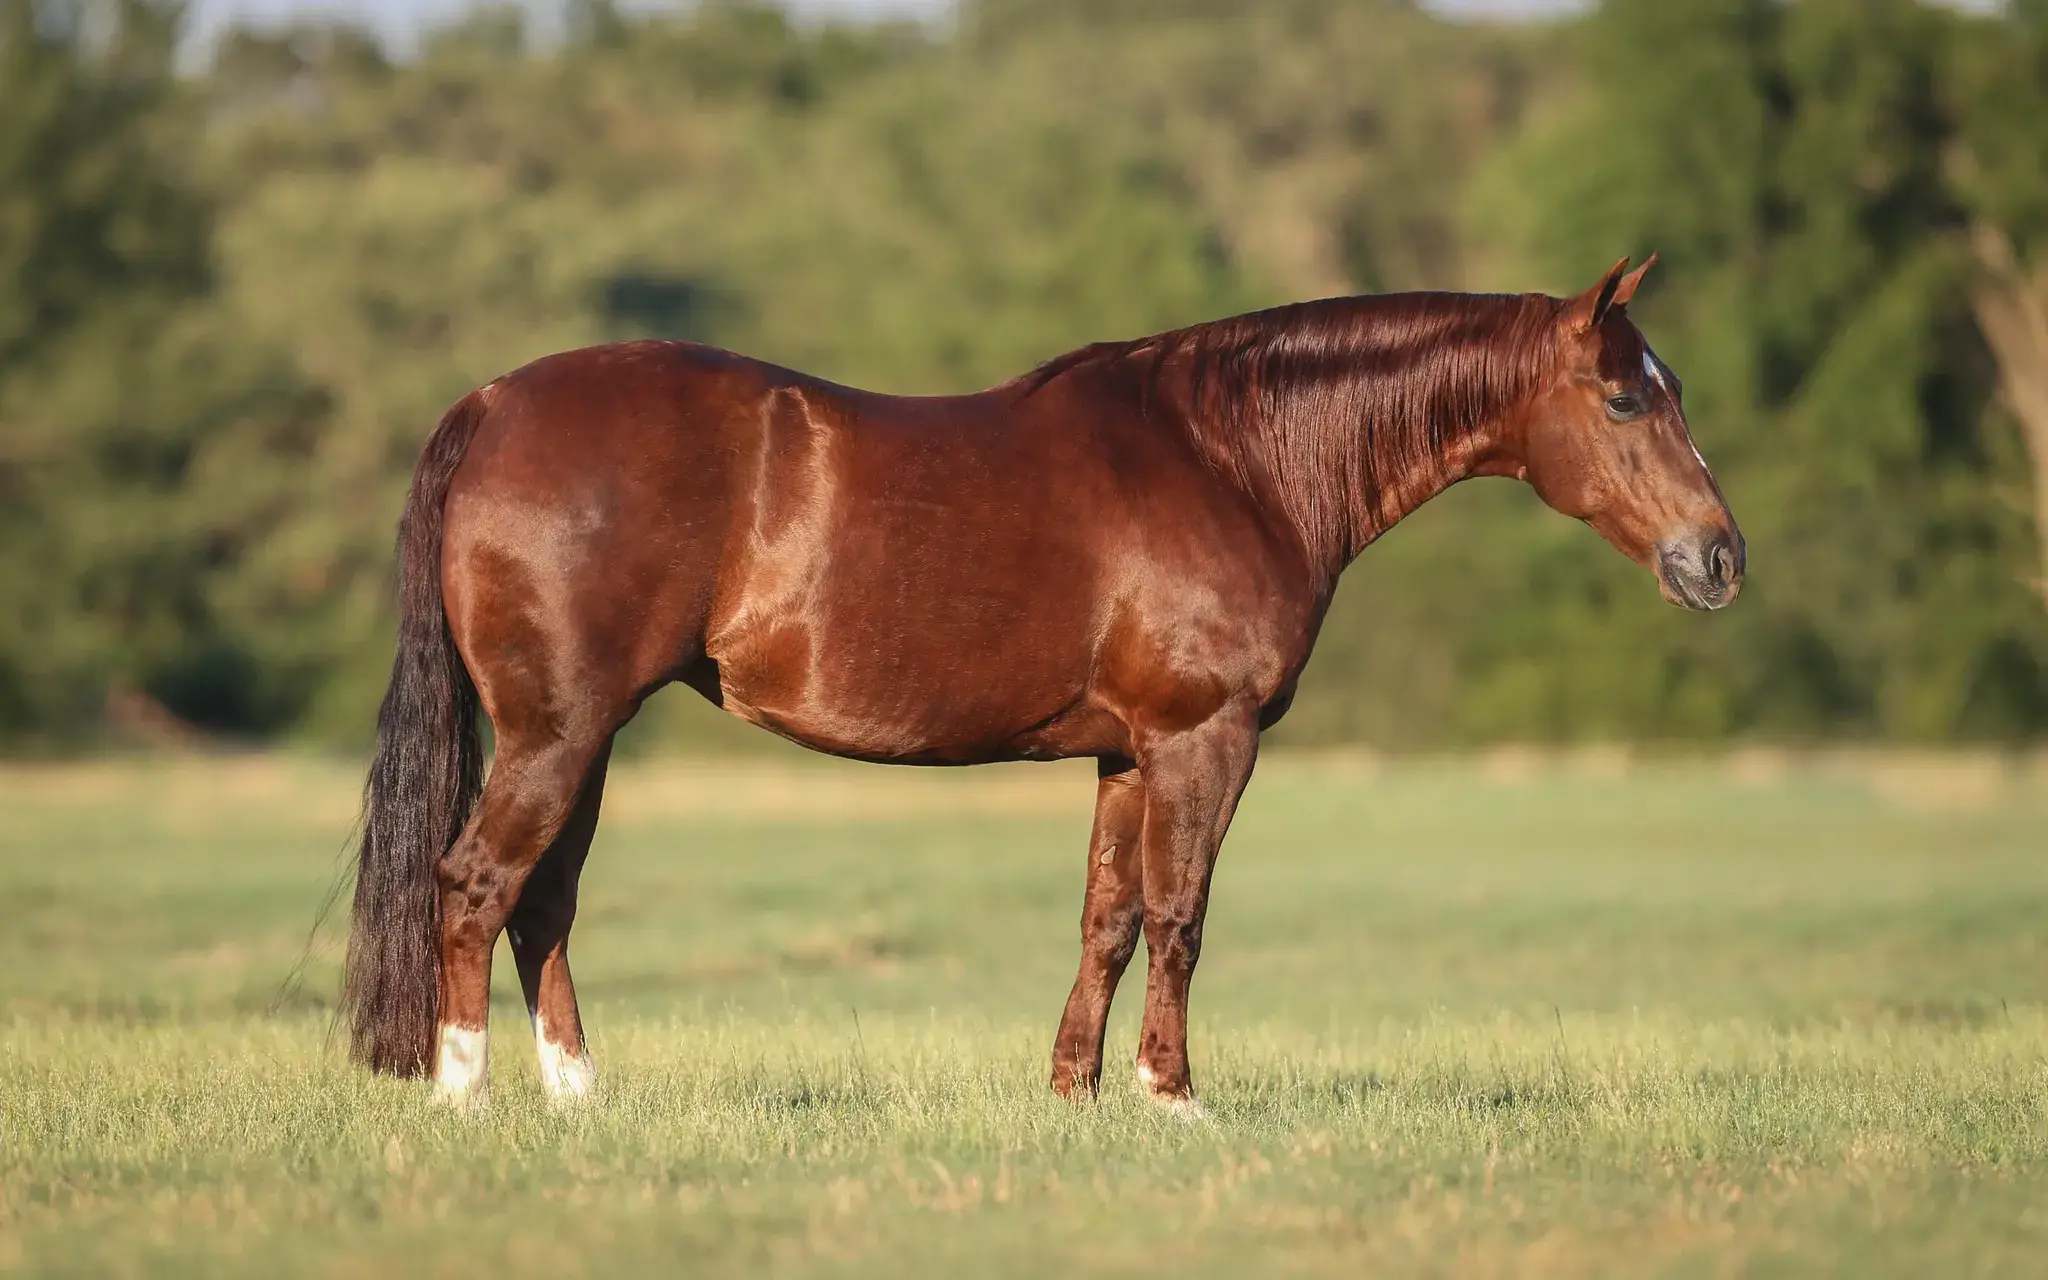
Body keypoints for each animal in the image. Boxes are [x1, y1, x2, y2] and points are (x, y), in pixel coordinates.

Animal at [342, 254, 1743, 1111]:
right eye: (1625, 398)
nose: (1718, 558)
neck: (1232, 457)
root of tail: (490, 402)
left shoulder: (1127, 751)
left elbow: (1105, 919)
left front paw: (1074, 1095)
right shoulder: (1202, 738)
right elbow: (1178, 915)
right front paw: (1173, 1096)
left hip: (577, 735)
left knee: (542, 901)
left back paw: (578, 1097)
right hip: (555, 731)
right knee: (474, 884)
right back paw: (464, 1095)